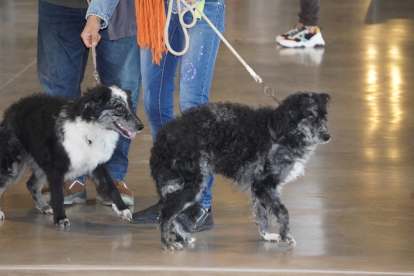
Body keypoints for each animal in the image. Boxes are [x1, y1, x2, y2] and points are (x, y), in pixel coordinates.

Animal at [0, 85, 144, 226]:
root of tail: (13, 108)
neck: (91, 128)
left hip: (42, 164)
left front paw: (122, 208)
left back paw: (44, 207)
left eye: (131, 106)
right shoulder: (56, 168)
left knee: (31, 184)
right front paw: (60, 218)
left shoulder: (97, 165)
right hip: (14, 165)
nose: (141, 126)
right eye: (119, 107)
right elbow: (58, 195)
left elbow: (111, 186)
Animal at [150, 91, 332, 249]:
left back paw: (183, 237)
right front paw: (287, 236)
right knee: (166, 212)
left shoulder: (258, 187)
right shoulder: (264, 184)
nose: (327, 136)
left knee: (171, 213)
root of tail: (163, 136)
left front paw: (266, 235)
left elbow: (262, 214)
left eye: (325, 116)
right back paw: (168, 242)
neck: (281, 131)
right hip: (192, 185)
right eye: (310, 116)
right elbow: (283, 211)